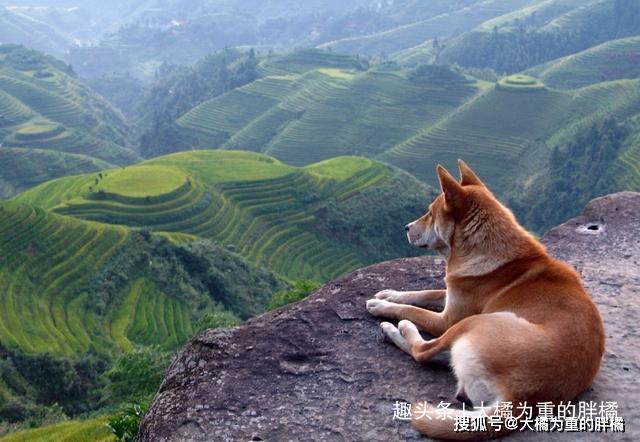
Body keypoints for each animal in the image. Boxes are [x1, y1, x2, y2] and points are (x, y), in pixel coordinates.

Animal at [364, 161, 604, 440]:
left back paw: (397, 328)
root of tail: (520, 399)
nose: (406, 227)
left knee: (422, 351)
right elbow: (424, 293)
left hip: (476, 322)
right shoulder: (454, 291)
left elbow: (412, 309)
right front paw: (389, 293)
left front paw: (383, 305)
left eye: (430, 214)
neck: (487, 248)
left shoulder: (448, 319)